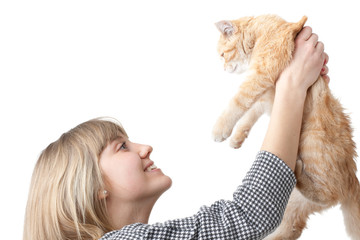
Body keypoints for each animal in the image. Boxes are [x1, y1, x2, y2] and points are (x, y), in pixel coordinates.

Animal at [212, 15, 358, 240]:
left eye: (222, 54)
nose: (223, 68)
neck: (260, 31)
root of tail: (352, 177)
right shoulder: (266, 94)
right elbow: (252, 111)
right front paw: (237, 136)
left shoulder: (261, 75)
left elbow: (239, 101)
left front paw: (220, 129)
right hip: (291, 203)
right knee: (292, 227)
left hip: (313, 147)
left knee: (328, 194)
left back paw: (298, 171)